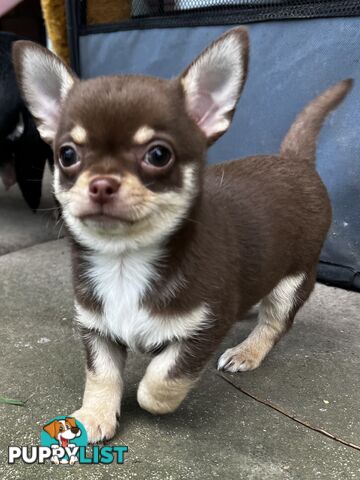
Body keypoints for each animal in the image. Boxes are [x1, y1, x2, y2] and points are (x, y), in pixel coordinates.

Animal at [13, 29, 352, 442]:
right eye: (67, 155)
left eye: (158, 155)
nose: (101, 184)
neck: (125, 260)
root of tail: (294, 160)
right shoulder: (96, 329)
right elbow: (101, 375)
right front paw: (94, 415)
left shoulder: (205, 328)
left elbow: (159, 382)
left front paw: (147, 388)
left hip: (294, 280)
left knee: (275, 323)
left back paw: (247, 352)